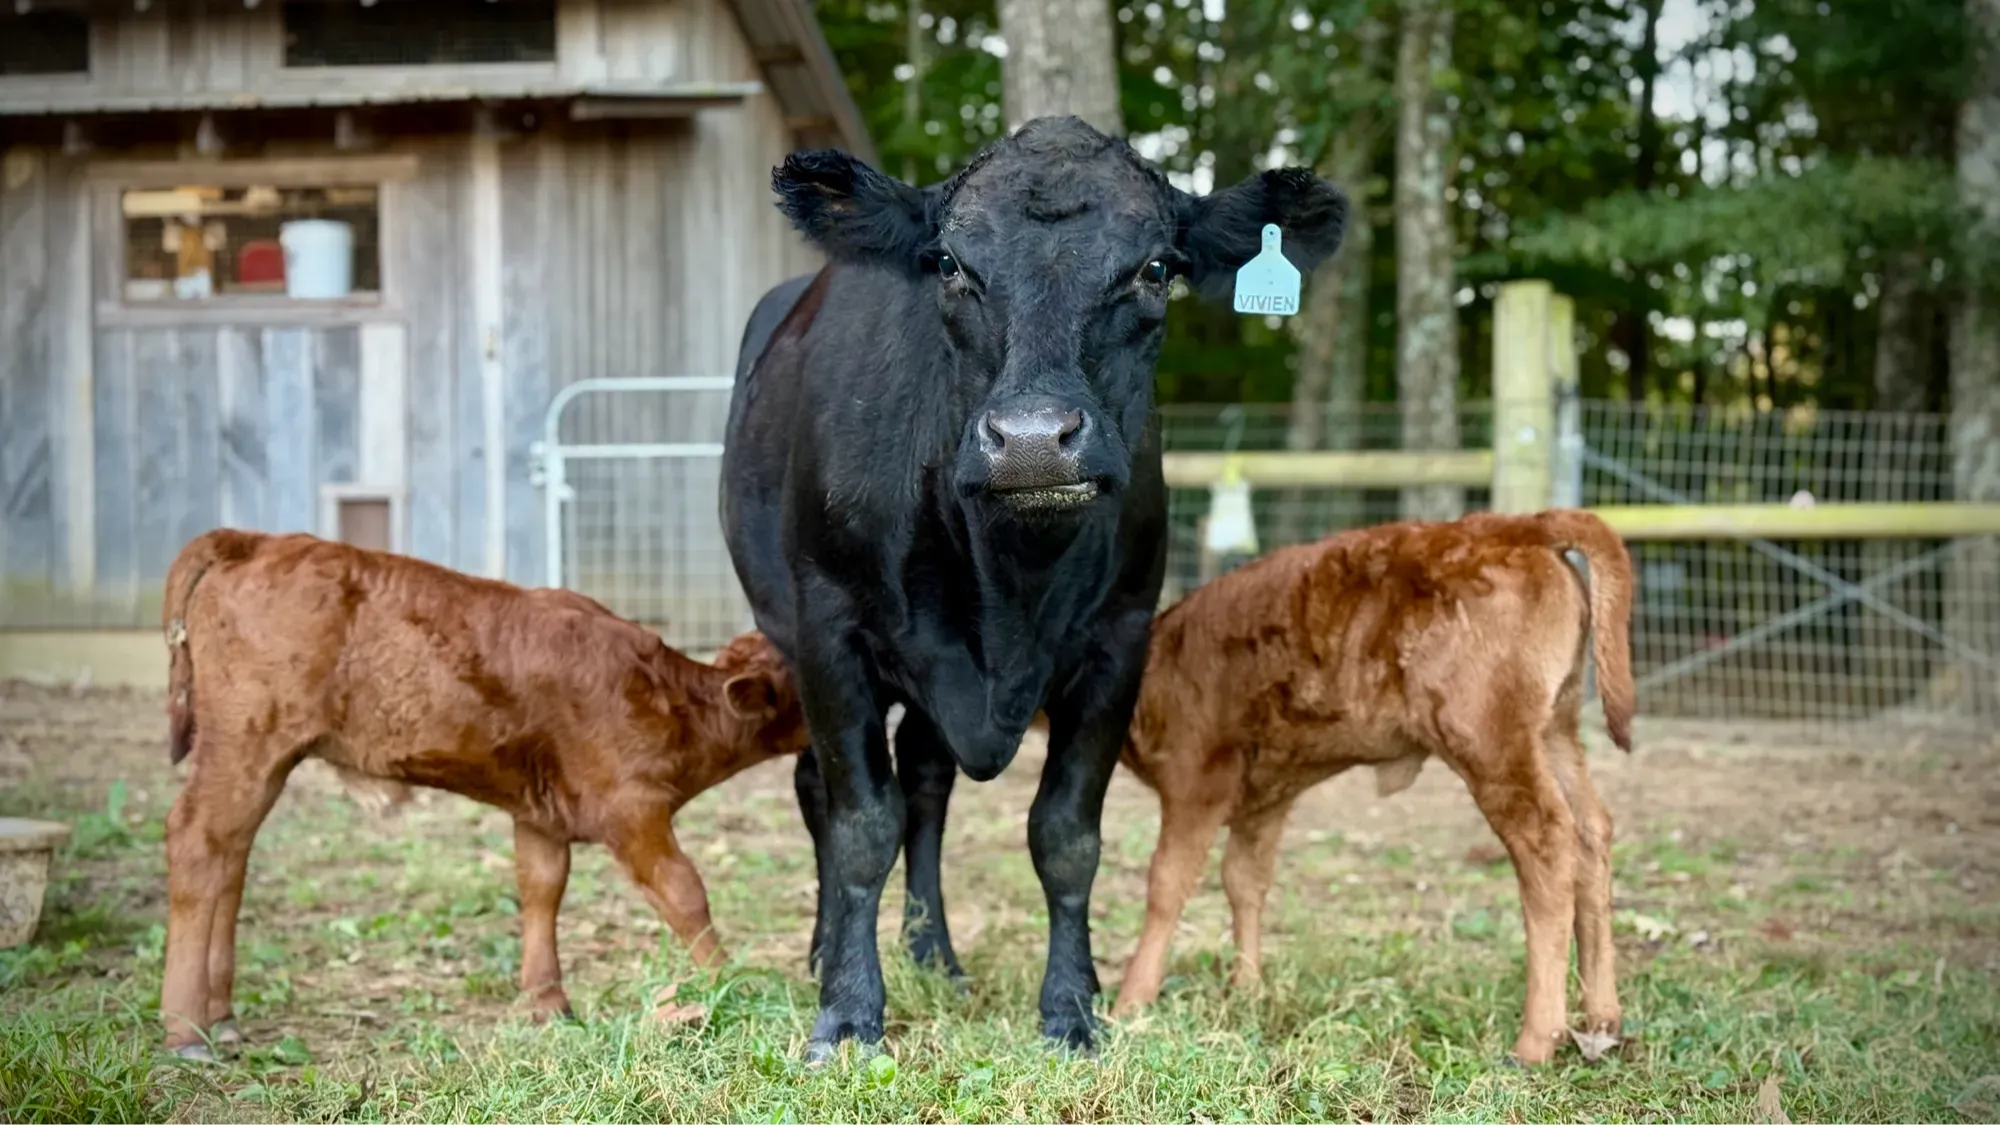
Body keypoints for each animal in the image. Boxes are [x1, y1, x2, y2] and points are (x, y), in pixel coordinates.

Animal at [155, 529, 807, 1059]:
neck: (675, 705)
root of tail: (253, 540)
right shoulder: (631, 807)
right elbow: (683, 892)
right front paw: (731, 984)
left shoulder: (542, 811)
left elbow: (541, 889)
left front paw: (548, 1004)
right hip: (247, 739)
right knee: (197, 840)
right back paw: (185, 1030)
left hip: (262, 758)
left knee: (231, 855)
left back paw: (221, 1017)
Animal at [719, 115, 1350, 1058]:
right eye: (948, 263)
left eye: (1155, 268)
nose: (1030, 440)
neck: (1007, 579)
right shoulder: (831, 632)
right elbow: (861, 824)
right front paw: (849, 1011)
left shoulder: (1119, 639)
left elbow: (1064, 834)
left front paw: (1072, 1007)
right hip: (792, 635)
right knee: (823, 791)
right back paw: (828, 951)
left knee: (928, 785)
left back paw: (936, 955)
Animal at [1108, 510, 1637, 1066]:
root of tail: (1516, 526)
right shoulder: (1265, 796)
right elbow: (1244, 881)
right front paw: (1246, 988)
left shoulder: (1197, 780)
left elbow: (1167, 883)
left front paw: (1131, 1002)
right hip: (1553, 729)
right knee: (1590, 831)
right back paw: (1602, 1018)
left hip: (1489, 740)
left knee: (1547, 843)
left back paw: (1535, 1040)